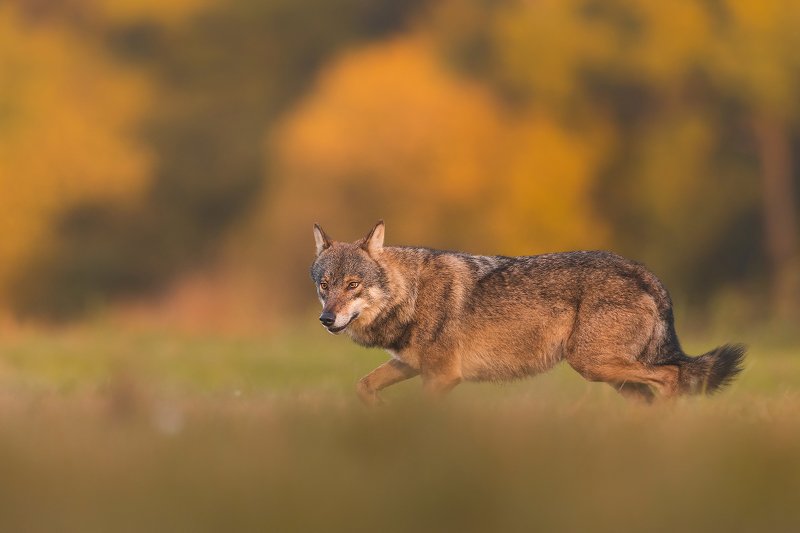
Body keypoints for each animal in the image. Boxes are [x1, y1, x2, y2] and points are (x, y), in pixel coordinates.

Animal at [310, 221, 745, 405]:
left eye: (353, 285)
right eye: (325, 285)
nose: (326, 320)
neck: (410, 295)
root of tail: (646, 273)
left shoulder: (442, 376)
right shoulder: (411, 365)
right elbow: (363, 386)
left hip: (593, 364)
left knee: (671, 378)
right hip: (608, 374)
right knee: (652, 395)